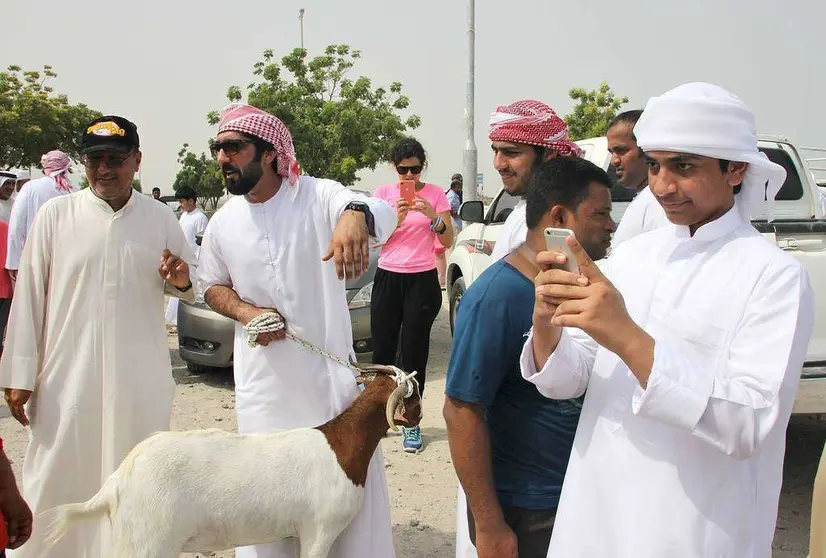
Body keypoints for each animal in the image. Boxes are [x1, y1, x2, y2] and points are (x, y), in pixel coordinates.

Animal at [37, 366, 422, 556]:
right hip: (147, 541)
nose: (419, 415)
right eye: (413, 395)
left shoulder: (300, 531)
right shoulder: (320, 528)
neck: (341, 444)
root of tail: (117, 481)